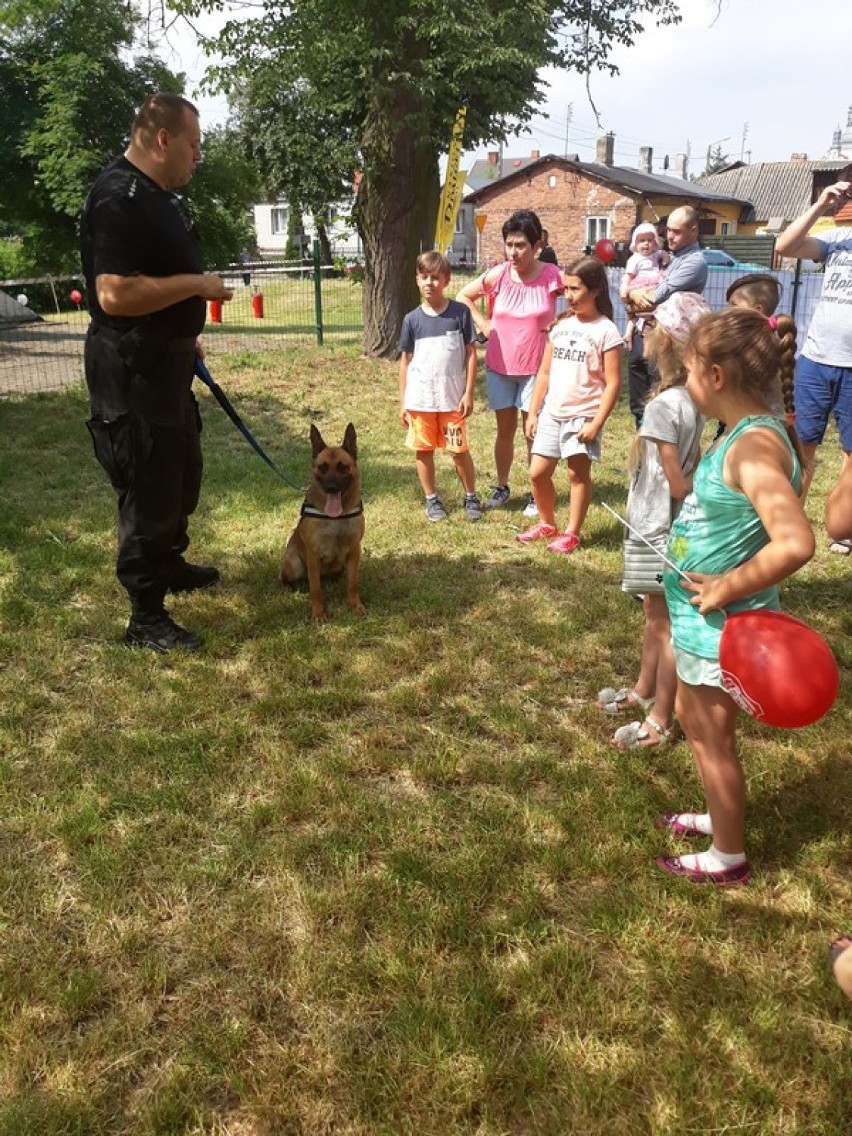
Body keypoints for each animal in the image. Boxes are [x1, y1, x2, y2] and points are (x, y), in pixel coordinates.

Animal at [281, 424, 365, 622]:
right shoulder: (313, 556)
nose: (331, 488)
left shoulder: (354, 551)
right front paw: (318, 613)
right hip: (294, 564)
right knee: (286, 578)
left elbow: (353, 584)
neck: (336, 518)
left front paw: (355, 605)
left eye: (343, 467)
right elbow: (316, 589)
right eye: (322, 468)